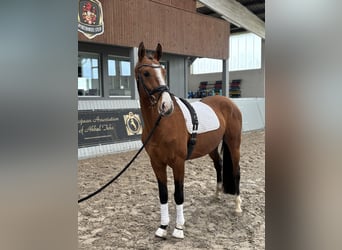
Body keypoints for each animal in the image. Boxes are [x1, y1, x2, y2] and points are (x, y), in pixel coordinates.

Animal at [134, 42, 243, 239]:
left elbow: (178, 194)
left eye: (163, 70)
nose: (166, 106)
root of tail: (229, 102)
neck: (161, 124)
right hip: (212, 147)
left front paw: (178, 228)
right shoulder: (156, 163)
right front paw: (163, 227)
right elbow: (163, 194)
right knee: (219, 165)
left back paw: (237, 206)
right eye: (146, 73)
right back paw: (217, 195)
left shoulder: (178, 163)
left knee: (236, 171)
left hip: (234, 143)